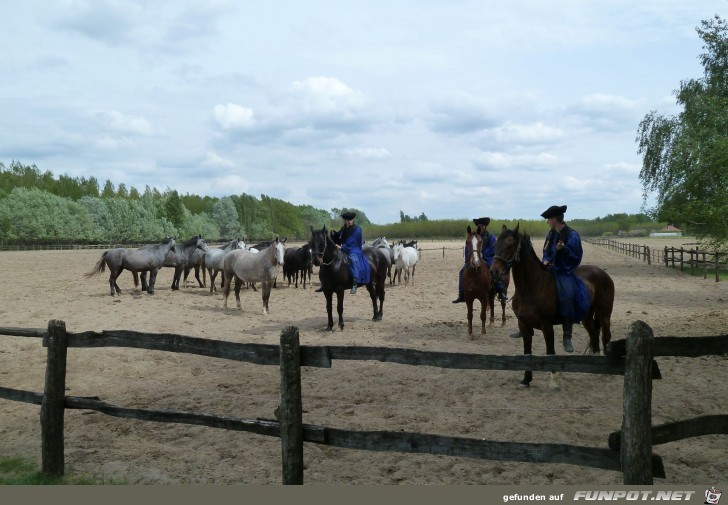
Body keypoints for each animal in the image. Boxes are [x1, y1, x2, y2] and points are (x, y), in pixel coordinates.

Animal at [490, 223, 616, 386]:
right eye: (495, 244)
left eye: (510, 244)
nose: (493, 272)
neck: (532, 287)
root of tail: (602, 273)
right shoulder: (524, 325)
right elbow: (527, 352)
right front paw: (526, 379)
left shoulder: (547, 326)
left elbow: (550, 352)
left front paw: (554, 381)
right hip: (587, 316)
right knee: (594, 334)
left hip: (604, 313)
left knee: (605, 336)